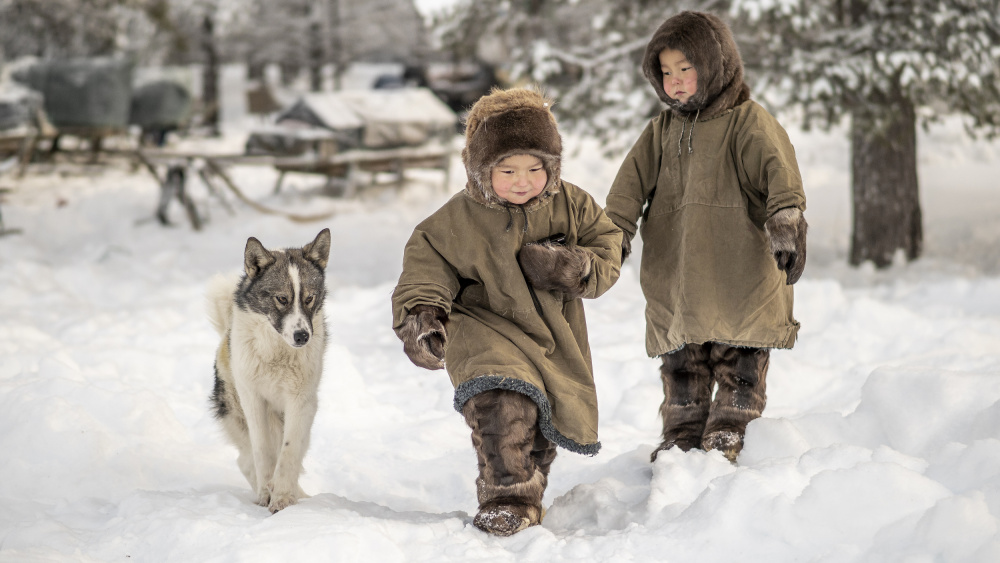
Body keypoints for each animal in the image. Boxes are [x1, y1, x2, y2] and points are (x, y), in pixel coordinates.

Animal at [207, 227, 332, 512]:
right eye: (282, 299)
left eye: (309, 298)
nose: (302, 336)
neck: (277, 352)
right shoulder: (253, 400)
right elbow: (263, 451)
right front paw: (267, 494)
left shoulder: (300, 402)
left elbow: (288, 453)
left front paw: (283, 498)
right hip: (237, 412)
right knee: (246, 459)